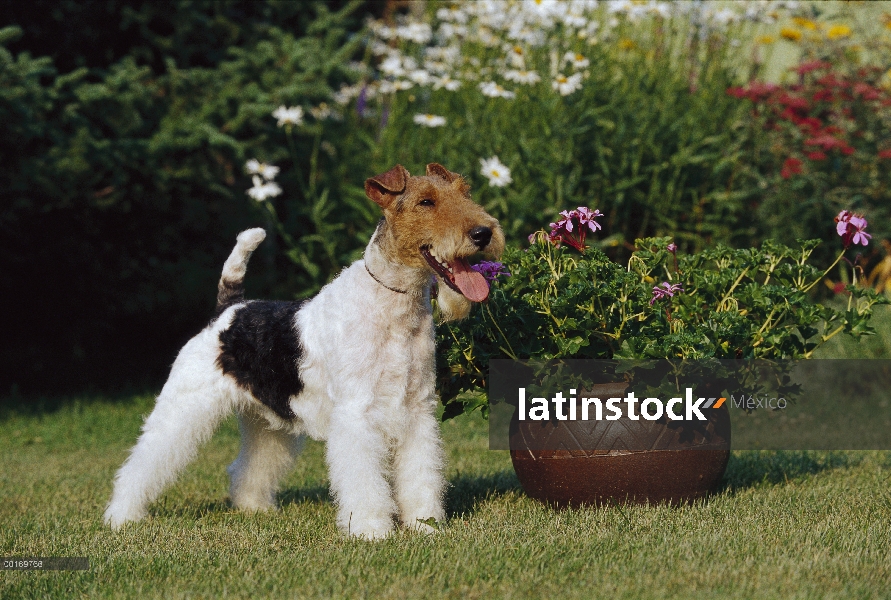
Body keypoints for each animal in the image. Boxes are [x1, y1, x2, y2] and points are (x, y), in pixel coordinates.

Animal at [103, 164, 506, 540]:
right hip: (183, 406)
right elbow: (365, 481)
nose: (483, 233)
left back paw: (254, 508)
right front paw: (371, 530)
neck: (393, 304)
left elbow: (421, 473)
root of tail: (229, 309)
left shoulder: (417, 410)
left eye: (465, 192)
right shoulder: (357, 414)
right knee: (142, 463)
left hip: (268, 422)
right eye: (426, 202)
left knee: (249, 467)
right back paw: (121, 516)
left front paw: (425, 525)